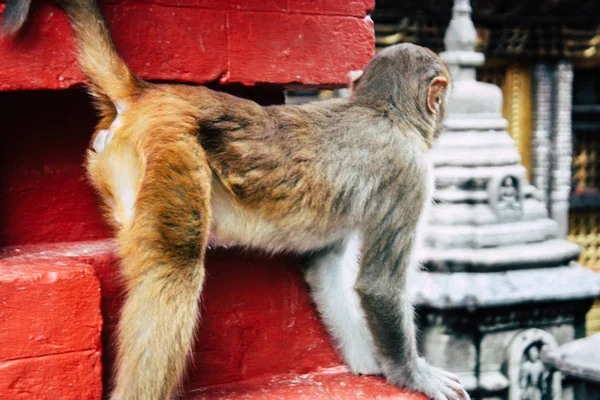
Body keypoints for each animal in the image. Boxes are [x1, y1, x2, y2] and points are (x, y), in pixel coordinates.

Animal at [2, 3, 468, 400]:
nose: (444, 116)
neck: (382, 111)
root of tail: (147, 94)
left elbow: (325, 263)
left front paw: (370, 365)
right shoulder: (409, 173)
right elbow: (379, 284)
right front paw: (412, 375)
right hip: (168, 145)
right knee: (175, 267)